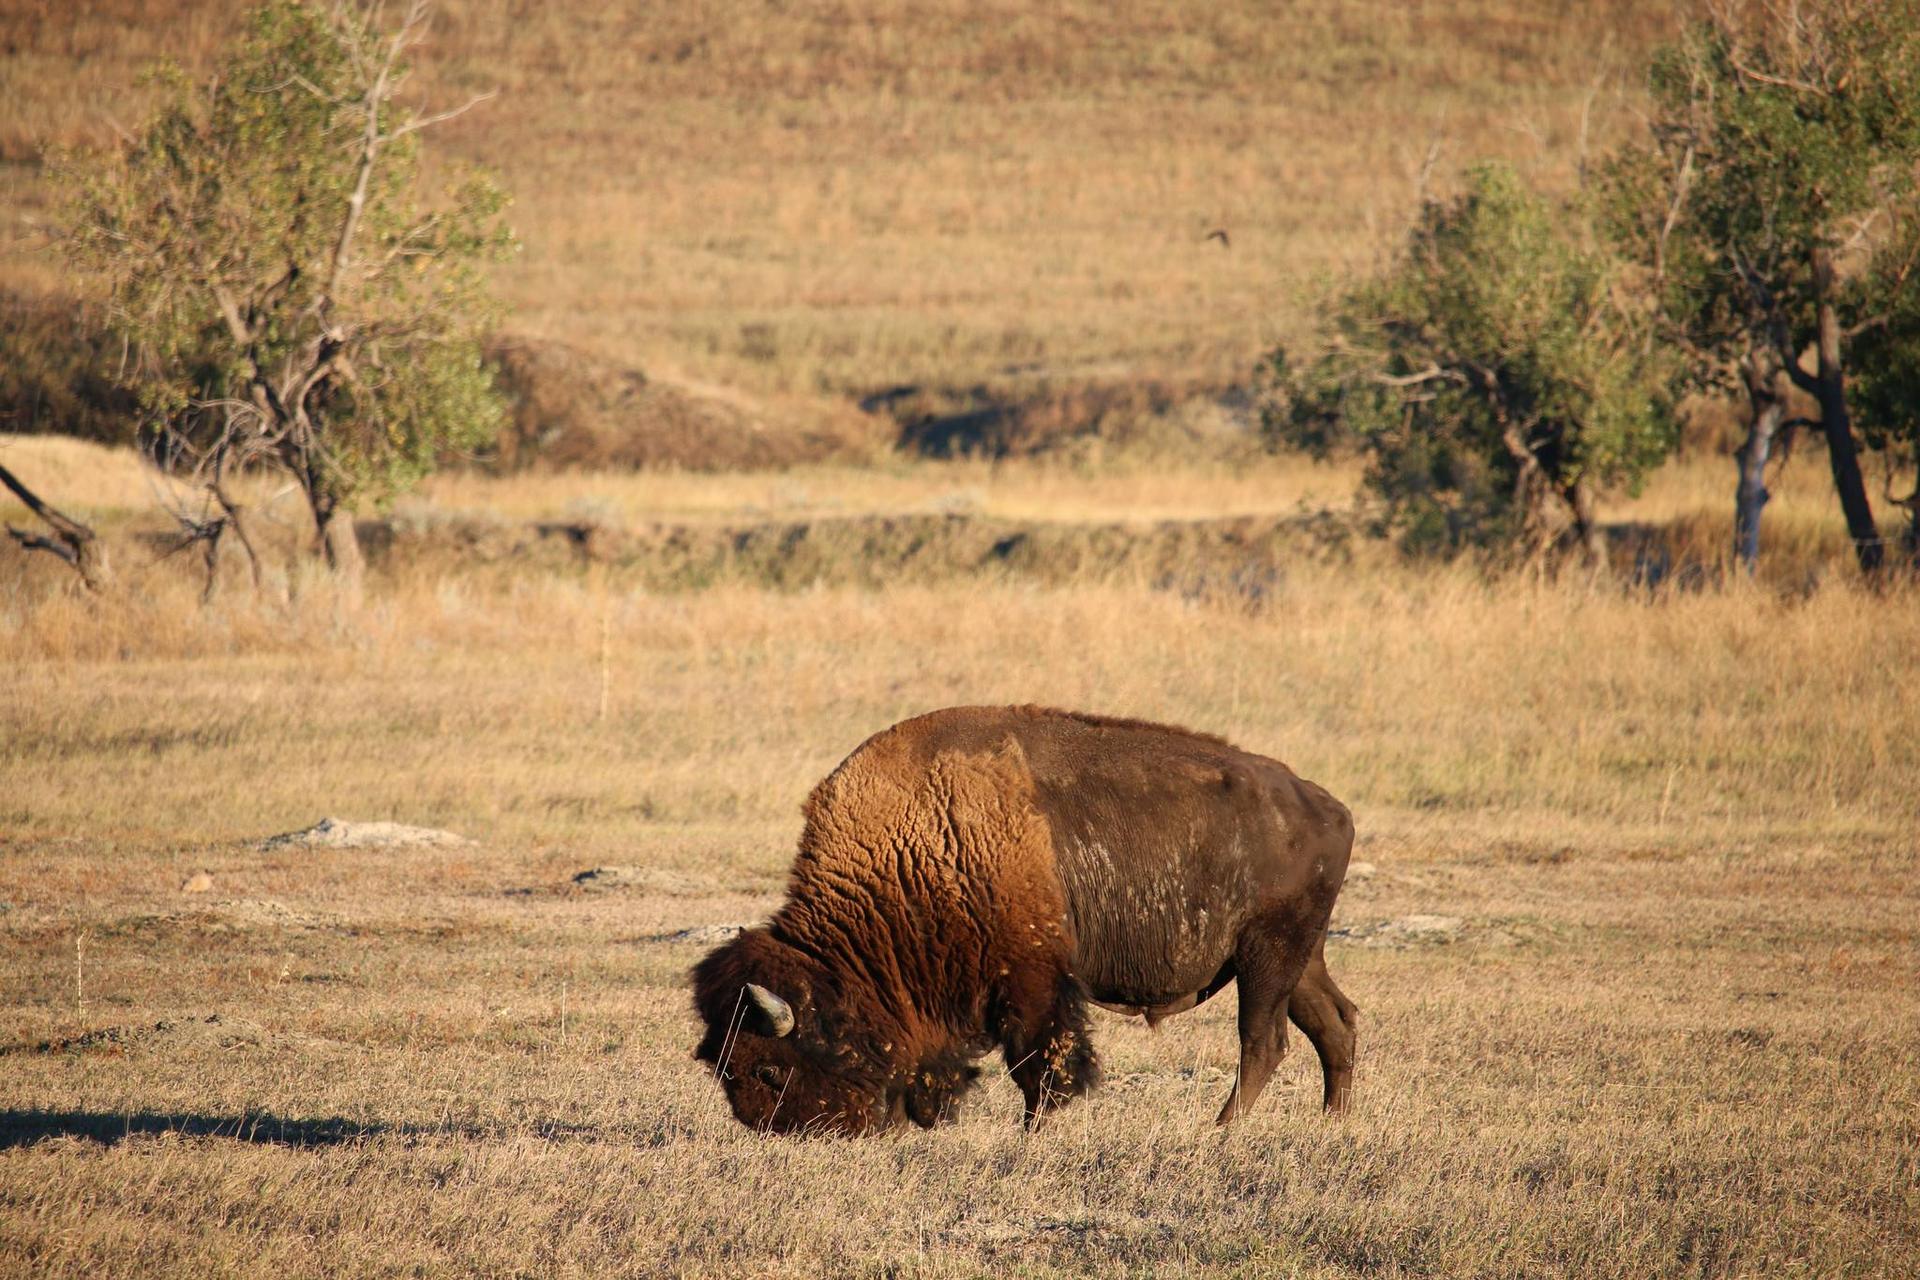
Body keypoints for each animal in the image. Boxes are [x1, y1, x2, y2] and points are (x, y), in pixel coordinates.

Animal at [693, 705, 1358, 1134]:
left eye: (769, 1068)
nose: (784, 1129)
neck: (917, 846)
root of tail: (1328, 806)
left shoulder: (1034, 981)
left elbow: (1040, 1063)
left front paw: (1033, 1133)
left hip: (1267, 954)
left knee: (1263, 1039)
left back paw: (1221, 1131)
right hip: (1297, 959)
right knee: (1335, 1023)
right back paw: (1333, 1124)